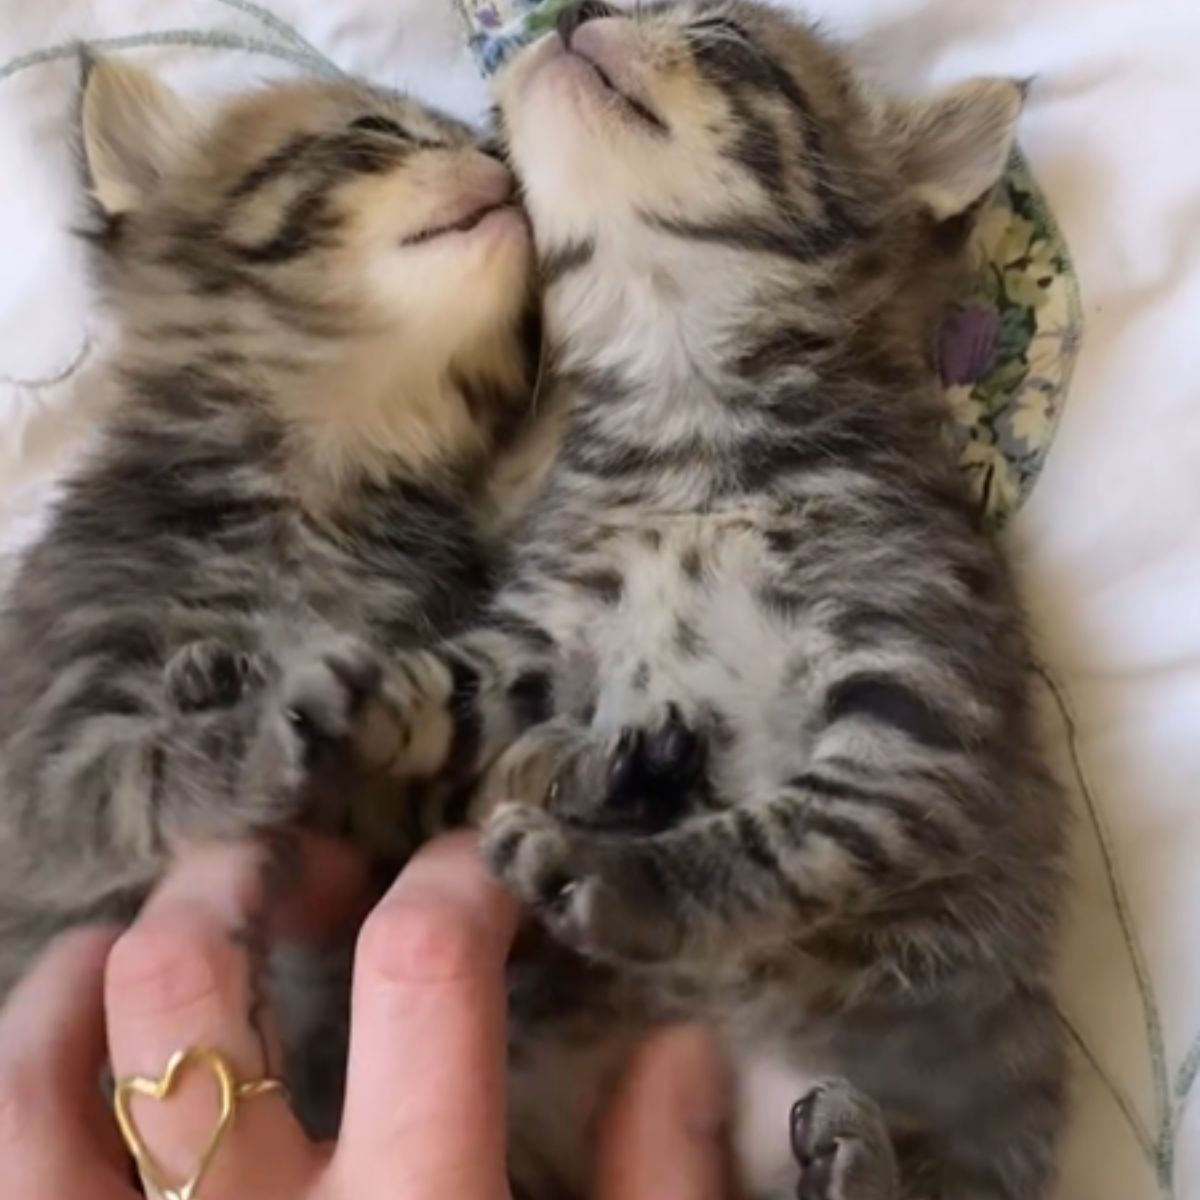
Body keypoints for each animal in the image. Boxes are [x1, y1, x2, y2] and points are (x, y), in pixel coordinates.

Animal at [0, 58, 535, 1003]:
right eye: (377, 132)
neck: (324, 489)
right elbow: (132, 775)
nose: (497, 159)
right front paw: (263, 725)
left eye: (484, 146)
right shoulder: (40, 771)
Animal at [340, 2, 1070, 1200]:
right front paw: (286, 699)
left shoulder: (915, 702)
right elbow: (446, 692)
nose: (576, 18)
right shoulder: (542, 624)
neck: (691, 427)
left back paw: (859, 1160)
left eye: (722, 34)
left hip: (989, 1119)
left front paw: (632, 880)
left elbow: (790, 836)